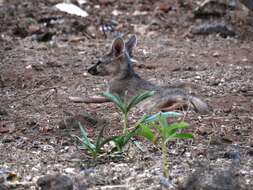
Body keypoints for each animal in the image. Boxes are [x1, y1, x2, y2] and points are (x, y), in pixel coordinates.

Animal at [69, 35, 210, 113]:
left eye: (99, 62)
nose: (88, 70)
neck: (122, 76)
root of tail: (187, 94)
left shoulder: (112, 96)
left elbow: (91, 98)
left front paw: (74, 98)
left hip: (151, 102)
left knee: (185, 105)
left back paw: (161, 110)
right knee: (186, 106)